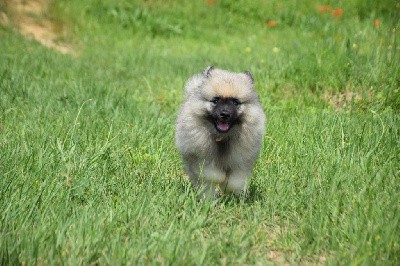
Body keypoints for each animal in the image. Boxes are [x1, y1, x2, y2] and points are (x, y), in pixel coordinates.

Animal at [175, 66, 266, 197]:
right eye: (216, 100)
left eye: (235, 102)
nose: (225, 114)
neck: (222, 137)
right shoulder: (202, 159)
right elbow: (214, 175)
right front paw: (221, 179)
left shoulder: (241, 161)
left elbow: (235, 181)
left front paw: (229, 189)